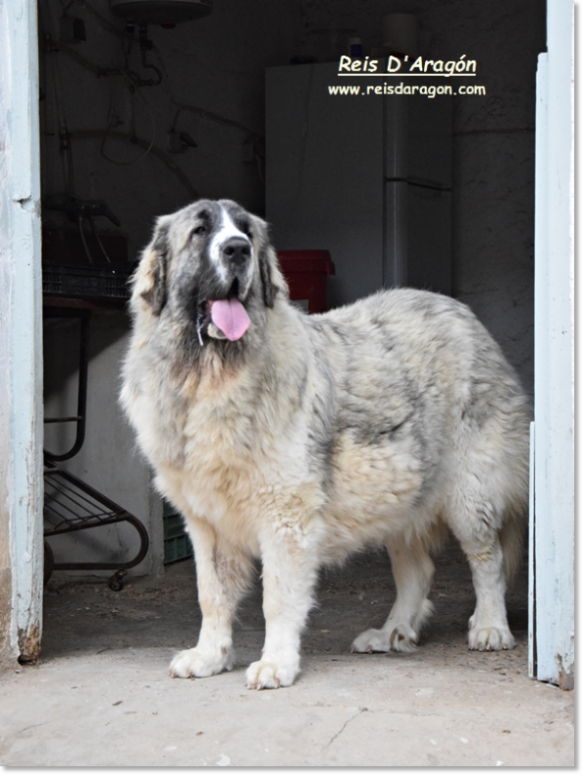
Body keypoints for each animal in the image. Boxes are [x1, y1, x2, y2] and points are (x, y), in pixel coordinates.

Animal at [121, 197, 532, 688]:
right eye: (200, 231)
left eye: (245, 233)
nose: (238, 250)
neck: (209, 378)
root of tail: (459, 311)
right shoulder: (207, 522)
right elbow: (211, 593)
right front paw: (210, 655)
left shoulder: (285, 514)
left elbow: (277, 597)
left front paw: (276, 663)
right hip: (399, 493)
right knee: (417, 571)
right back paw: (393, 632)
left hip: (470, 495)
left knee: (487, 560)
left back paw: (490, 627)